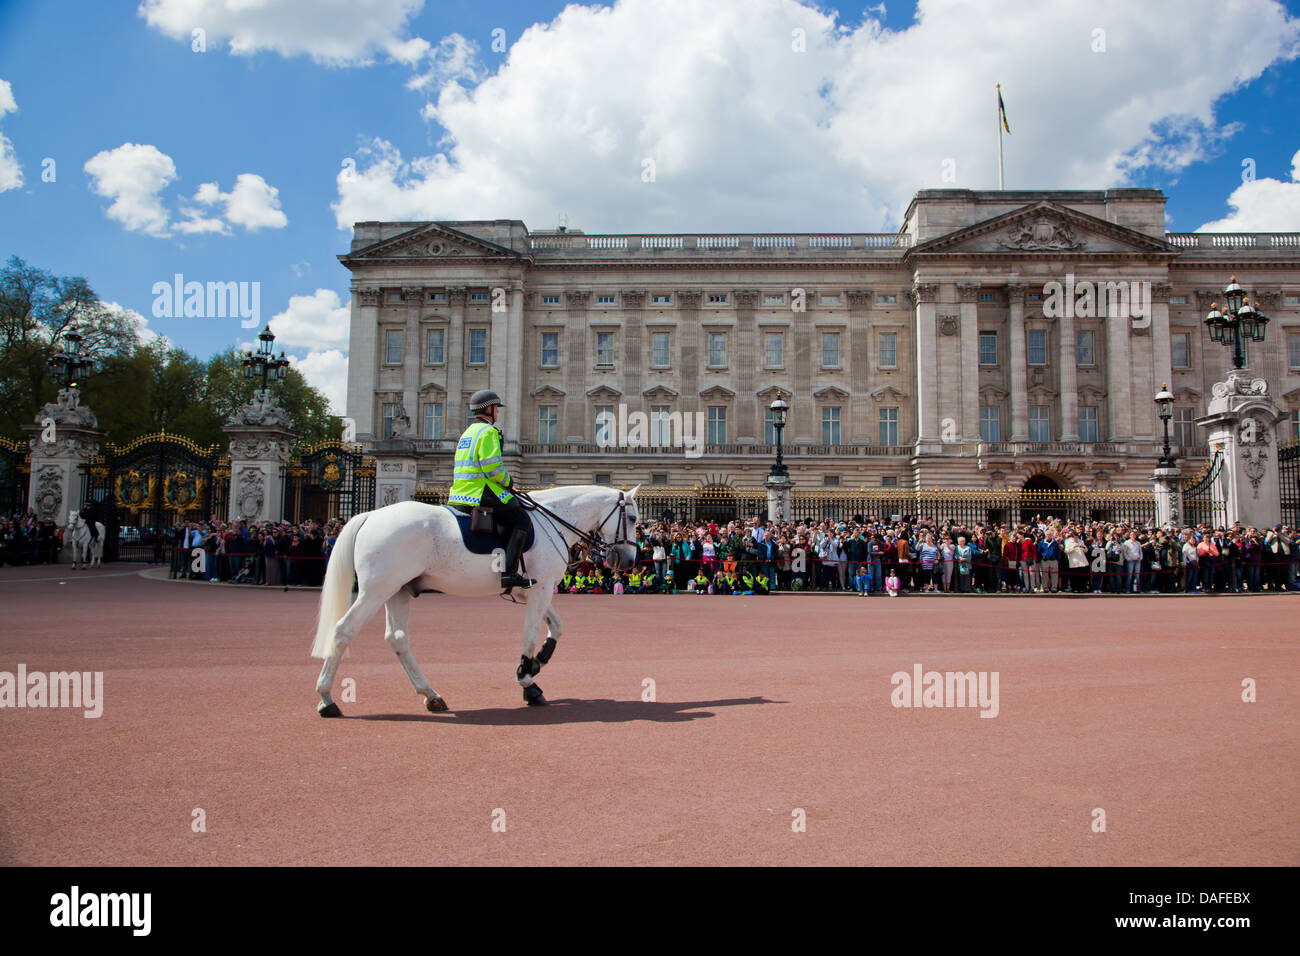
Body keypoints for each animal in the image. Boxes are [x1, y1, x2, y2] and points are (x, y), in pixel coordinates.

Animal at [314, 486, 639, 717]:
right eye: (634, 519)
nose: (627, 561)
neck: (552, 521)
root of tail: (370, 514)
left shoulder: (533, 589)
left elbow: (557, 626)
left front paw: (537, 663)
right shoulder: (542, 588)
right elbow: (530, 634)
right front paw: (527, 681)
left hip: (398, 590)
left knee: (397, 638)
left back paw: (431, 695)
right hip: (376, 590)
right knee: (343, 631)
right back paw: (327, 698)